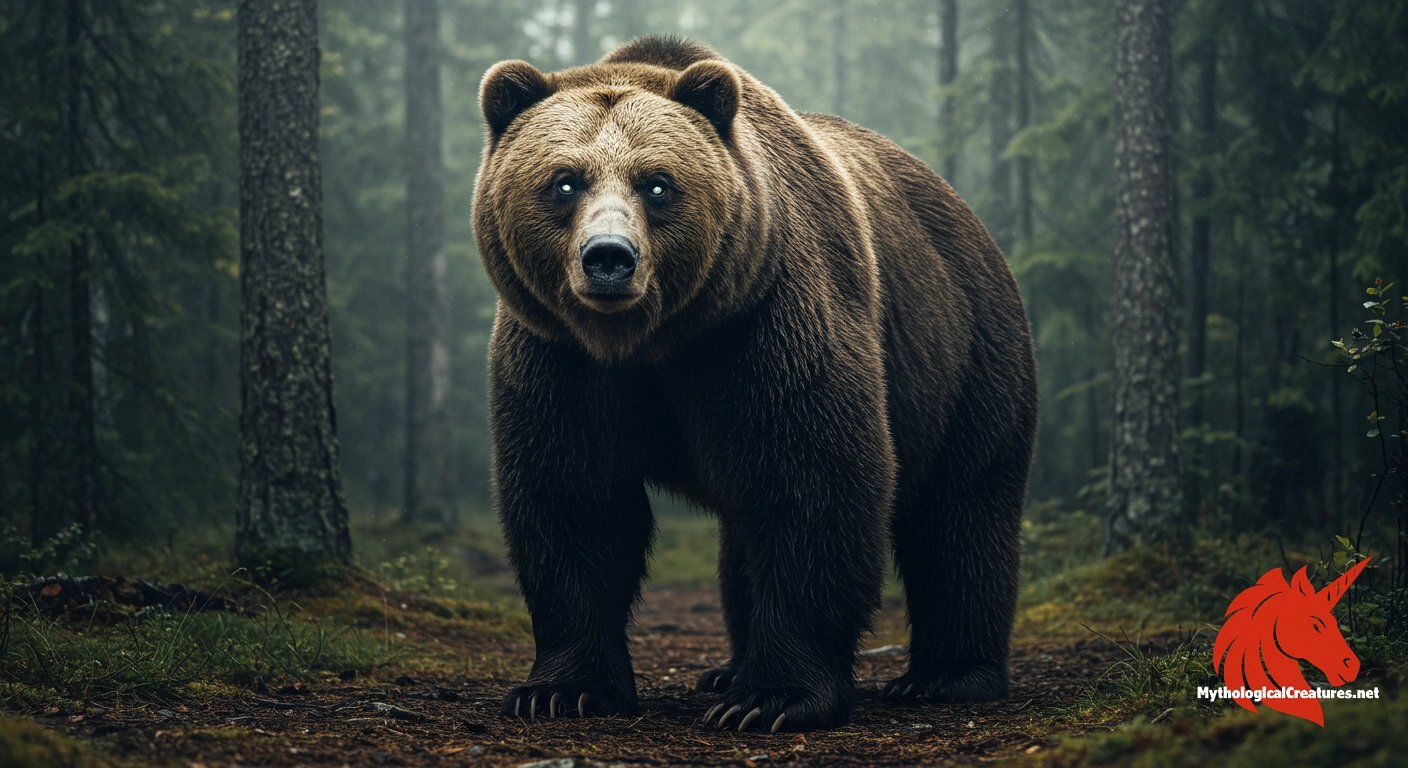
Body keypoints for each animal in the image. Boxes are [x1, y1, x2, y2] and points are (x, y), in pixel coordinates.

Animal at [473, 36, 1038, 733]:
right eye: (565, 181)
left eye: (657, 184)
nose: (608, 257)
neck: (651, 340)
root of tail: (966, 213)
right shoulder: (560, 357)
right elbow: (573, 498)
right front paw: (561, 689)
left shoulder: (767, 324)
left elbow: (811, 485)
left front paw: (775, 698)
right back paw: (728, 669)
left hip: (965, 353)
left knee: (961, 508)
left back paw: (946, 675)